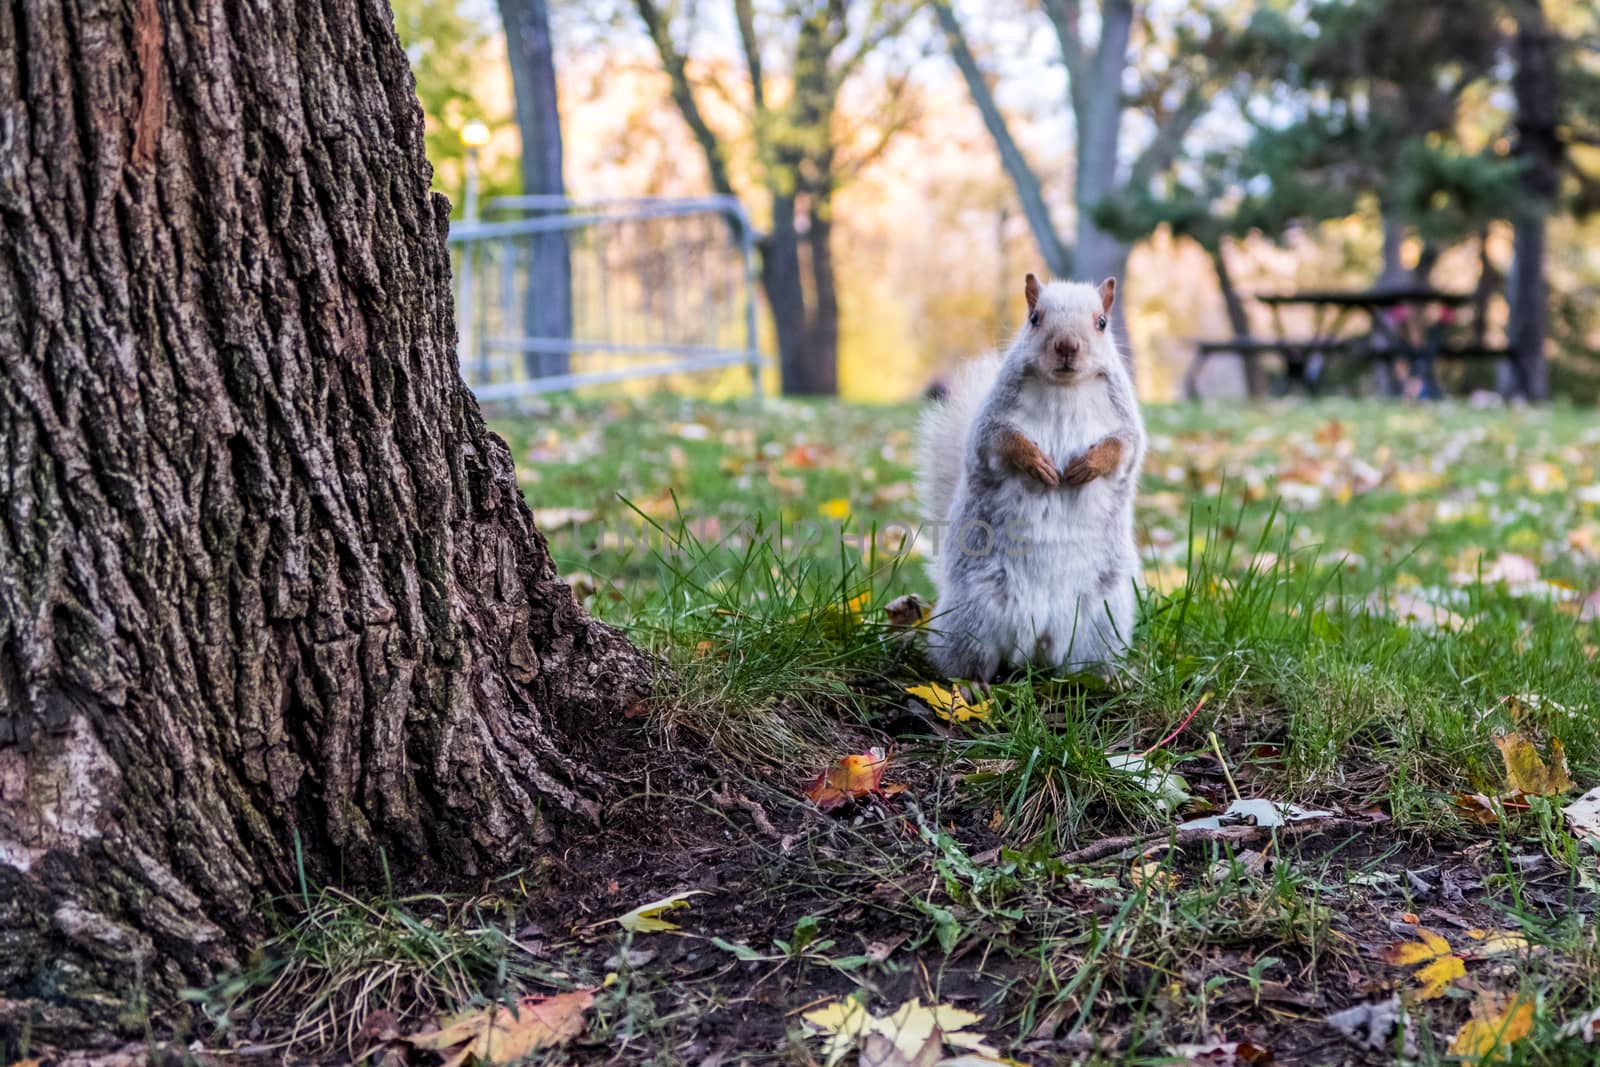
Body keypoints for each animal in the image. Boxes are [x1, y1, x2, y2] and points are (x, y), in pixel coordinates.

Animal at [915, 271, 1152, 681]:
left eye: (1101, 322)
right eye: (1034, 318)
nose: (1067, 345)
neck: (1065, 388)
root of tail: (1039, 641)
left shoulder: (1124, 420)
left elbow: (1123, 448)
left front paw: (1089, 465)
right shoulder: (993, 422)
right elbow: (1001, 441)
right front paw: (1036, 463)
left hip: (1103, 618)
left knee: (1087, 662)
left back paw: (1108, 678)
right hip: (973, 614)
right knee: (968, 661)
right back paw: (971, 684)